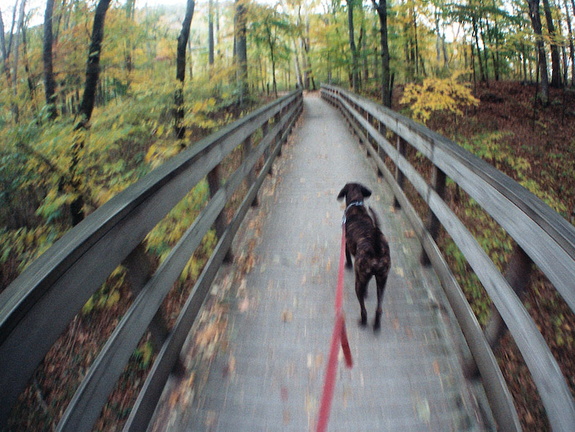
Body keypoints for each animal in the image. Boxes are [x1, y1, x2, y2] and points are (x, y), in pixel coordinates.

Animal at [338, 182, 392, 330]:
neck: (356, 206)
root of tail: (376, 246)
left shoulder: (346, 243)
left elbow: (347, 256)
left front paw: (348, 265)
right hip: (382, 280)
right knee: (379, 308)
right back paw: (376, 325)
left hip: (359, 282)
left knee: (363, 308)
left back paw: (363, 321)